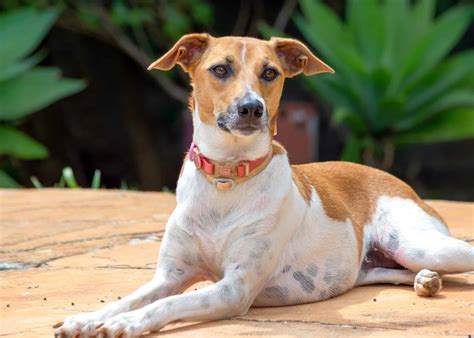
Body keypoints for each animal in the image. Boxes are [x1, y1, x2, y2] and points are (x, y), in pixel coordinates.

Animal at [52, 34, 474, 338]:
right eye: (220, 69)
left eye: (270, 73)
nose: (252, 108)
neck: (226, 178)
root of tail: (398, 182)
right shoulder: (170, 276)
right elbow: (128, 299)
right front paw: (87, 319)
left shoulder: (234, 288)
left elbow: (165, 306)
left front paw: (127, 324)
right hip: (375, 265)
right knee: (395, 271)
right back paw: (424, 280)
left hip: (418, 244)